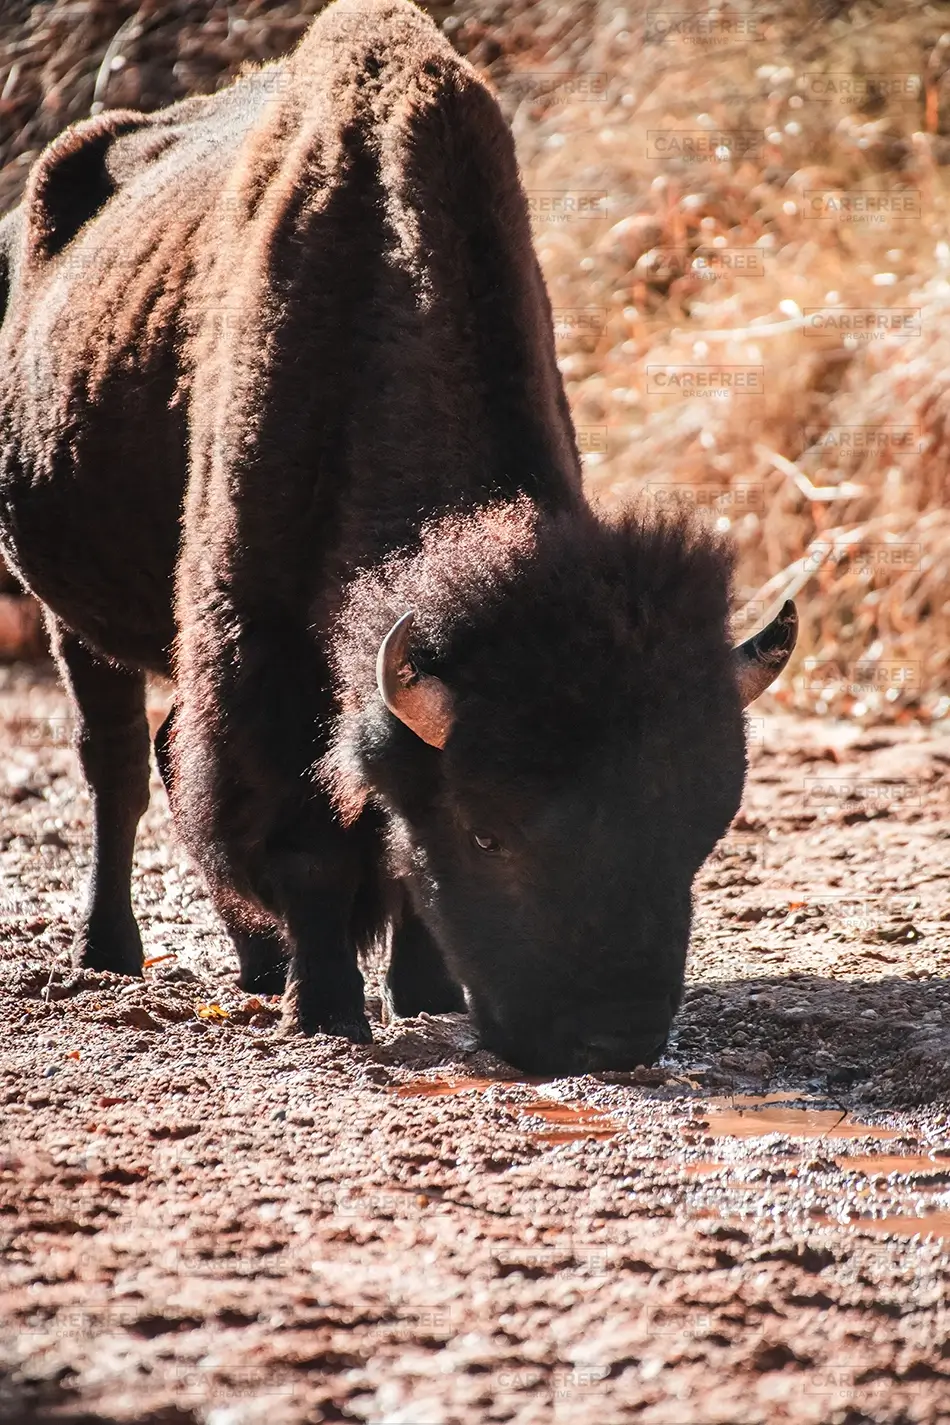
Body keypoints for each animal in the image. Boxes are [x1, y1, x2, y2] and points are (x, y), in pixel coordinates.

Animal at [0, 0, 796, 1073]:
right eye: (490, 833)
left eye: (703, 829)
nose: (610, 1038)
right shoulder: (263, 652)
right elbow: (309, 833)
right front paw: (328, 1007)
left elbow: (386, 838)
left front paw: (421, 992)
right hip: (70, 618)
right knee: (117, 762)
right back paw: (114, 951)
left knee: (166, 755)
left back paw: (257, 963)